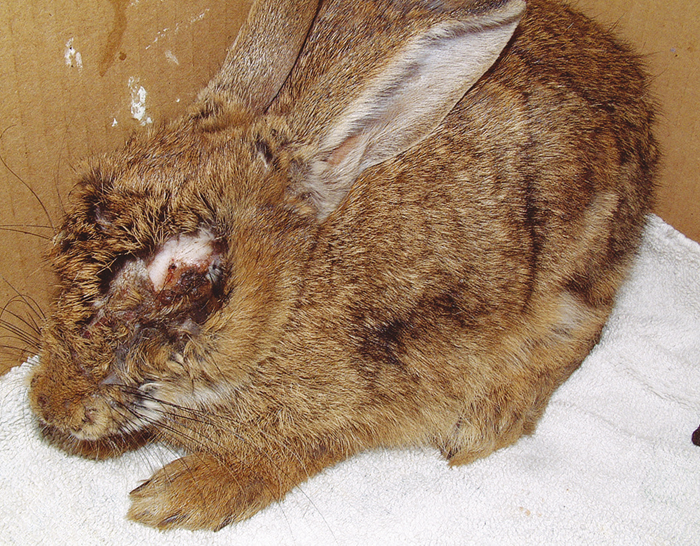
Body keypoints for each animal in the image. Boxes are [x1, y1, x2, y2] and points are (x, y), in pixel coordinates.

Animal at [27, 0, 658, 531]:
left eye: (184, 275)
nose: (50, 405)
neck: (291, 297)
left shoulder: (380, 393)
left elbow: (297, 449)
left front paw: (175, 498)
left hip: (570, 266)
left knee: (582, 327)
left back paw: (483, 425)